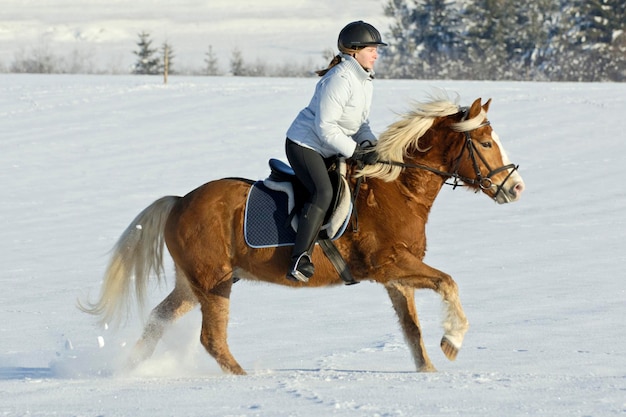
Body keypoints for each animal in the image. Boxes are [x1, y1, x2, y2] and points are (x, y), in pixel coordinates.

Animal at [80, 95, 524, 374]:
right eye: (485, 142)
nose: (515, 188)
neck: (396, 189)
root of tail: (180, 202)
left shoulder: (396, 276)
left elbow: (412, 330)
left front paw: (428, 371)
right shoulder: (391, 265)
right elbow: (449, 282)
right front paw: (453, 342)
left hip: (194, 285)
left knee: (158, 320)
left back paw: (127, 370)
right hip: (213, 283)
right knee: (212, 339)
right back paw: (246, 379)